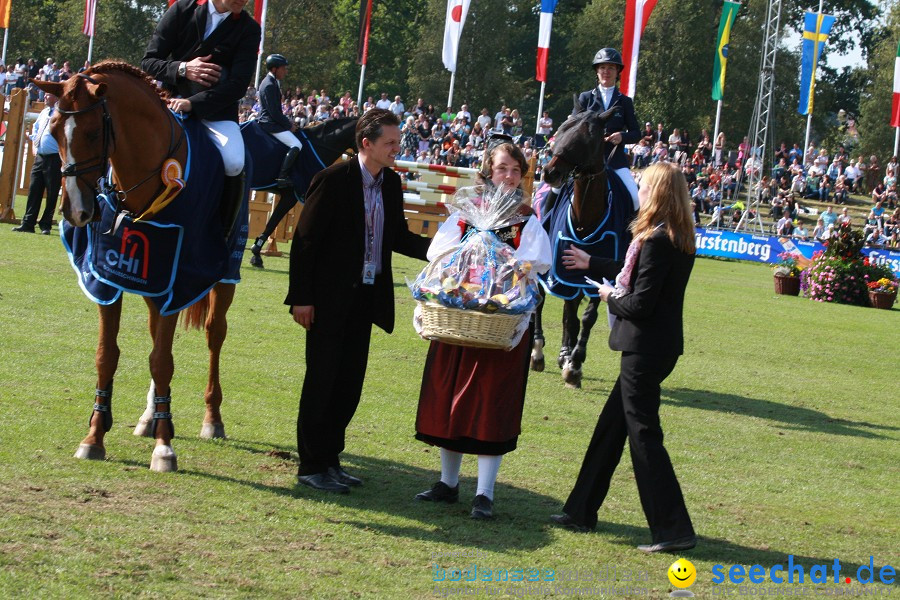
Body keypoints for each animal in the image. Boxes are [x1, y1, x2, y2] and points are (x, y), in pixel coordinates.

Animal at [33, 62, 246, 474]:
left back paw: (211, 419)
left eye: (92, 132)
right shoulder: (110, 279)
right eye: (54, 132)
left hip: (224, 275)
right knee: (156, 336)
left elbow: (162, 361)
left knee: (214, 335)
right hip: (152, 288)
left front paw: (164, 448)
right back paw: (150, 418)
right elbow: (108, 355)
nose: (75, 212)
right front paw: (94, 436)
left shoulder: (178, 280)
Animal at [532, 107, 636, 390]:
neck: (586, 216)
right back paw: (538, 352)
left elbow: (585, 317)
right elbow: (570, 316)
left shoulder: (597, 272)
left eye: (588, 137)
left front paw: (574, 363)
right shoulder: (563, 270)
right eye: (561, 130)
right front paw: (569, 362)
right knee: (540, 301)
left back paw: (564, 354)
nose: (550, 172)